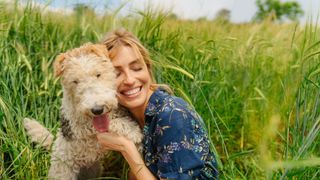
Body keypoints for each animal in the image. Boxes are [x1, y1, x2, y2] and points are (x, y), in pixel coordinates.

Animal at [25, 43, 144, 180]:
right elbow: (110, 124)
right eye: (75, 81)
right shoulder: (80, 125)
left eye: (98, 74)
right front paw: (134, 131)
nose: (97, 110)